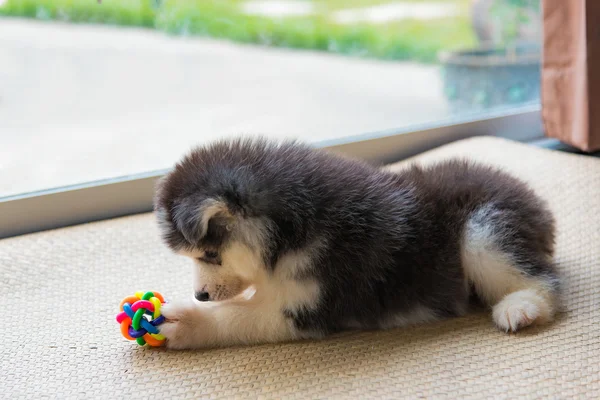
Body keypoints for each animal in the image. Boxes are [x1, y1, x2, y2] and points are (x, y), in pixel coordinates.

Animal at [154, 138, 556, 350]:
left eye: (210, 254)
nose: (200, 295)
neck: (289, 231)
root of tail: (534, 199)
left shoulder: (308, 305)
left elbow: (236, 316)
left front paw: (184, 321)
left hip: (482, 233)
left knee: (544, 282)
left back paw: (520, 308)